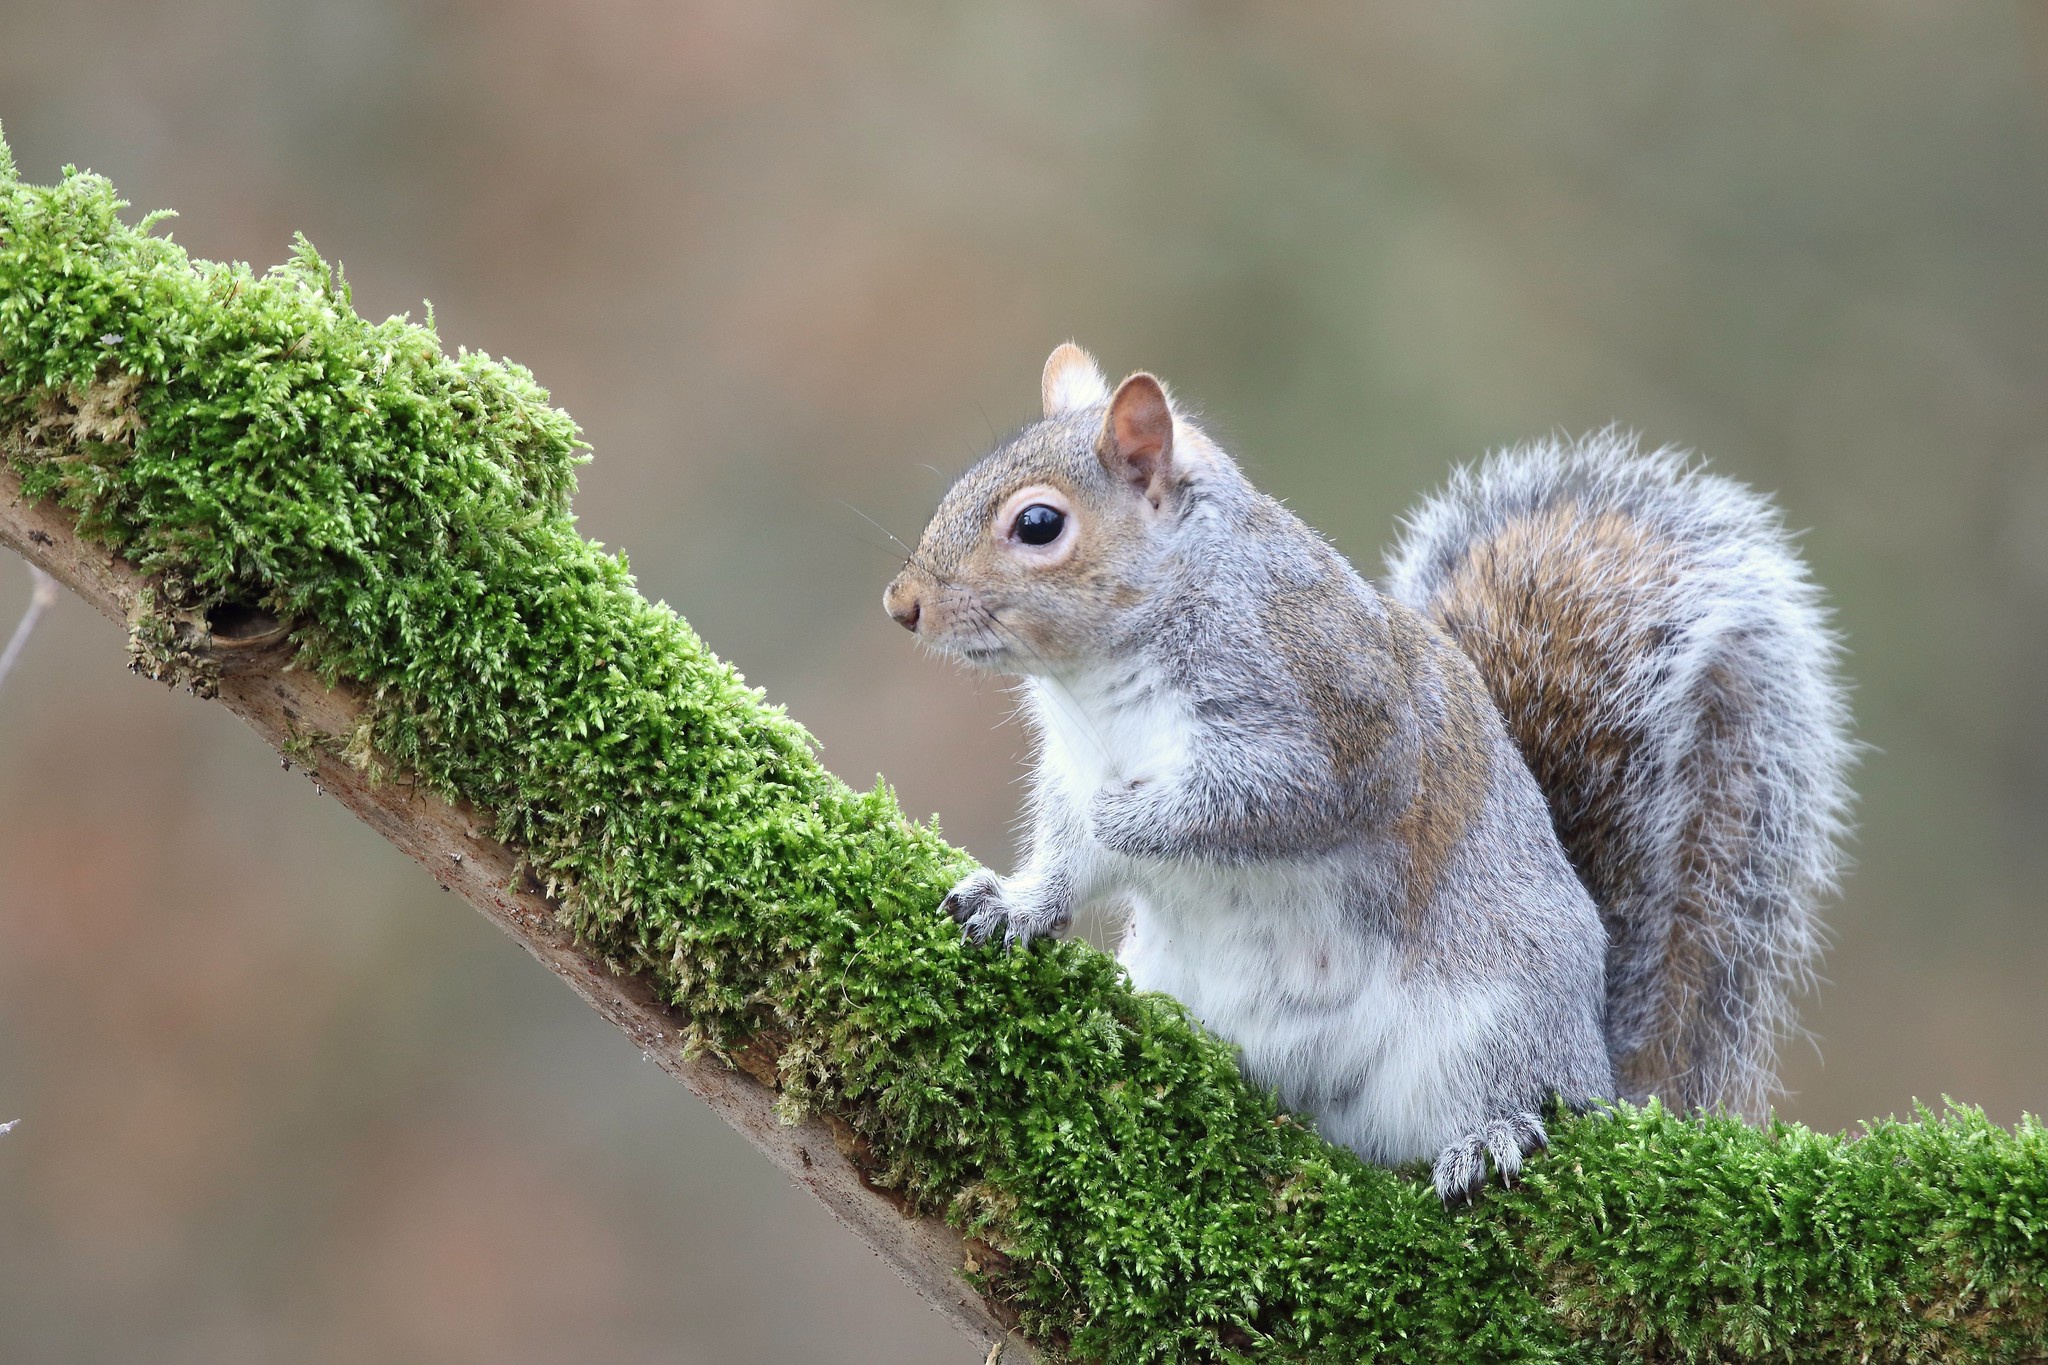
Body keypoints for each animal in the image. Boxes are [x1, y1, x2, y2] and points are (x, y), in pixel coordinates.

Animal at [884, 343, 1859, 1203]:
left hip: (1493, 1022)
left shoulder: (1334, 724)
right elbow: (1063, 855)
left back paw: (1494, 1132)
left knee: (1518, 1094)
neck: (1099, 681)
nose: (903, 604)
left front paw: (1128, 820)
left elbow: (1265, 804)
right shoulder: (1069, 761)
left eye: (1038, 524)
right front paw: (1013, 904)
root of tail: (1599, 1065)